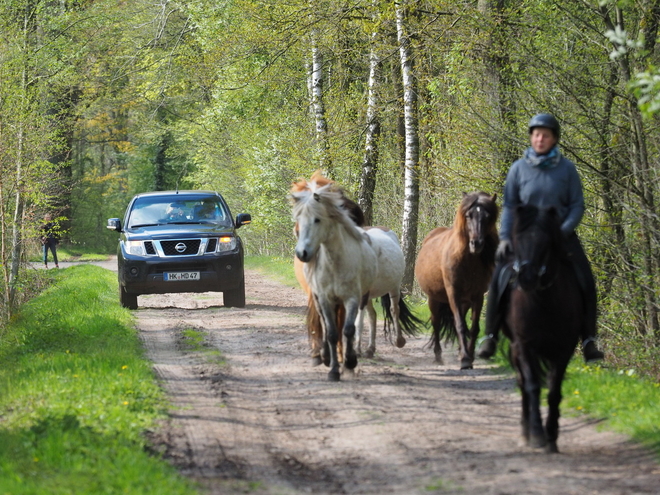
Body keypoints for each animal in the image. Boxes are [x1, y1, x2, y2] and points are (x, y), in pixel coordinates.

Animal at [292, 180, 378, 382]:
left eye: (317, 219)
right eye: (298, 220)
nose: (302, 253)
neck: (335, 264)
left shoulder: (352, 299)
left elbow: (348, 330)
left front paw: (350, 363)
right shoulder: (325, 298)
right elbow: (331, 332)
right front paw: (333, 370)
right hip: (319, 299)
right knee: (324, 324)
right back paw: (324, 356)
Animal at [356, 229, 422, 360]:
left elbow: (357, 322)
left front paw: (356, 350)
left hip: (393, 287)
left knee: (394, 310)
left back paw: (399, 341)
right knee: (372, 315)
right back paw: (370, 349)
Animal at [416, 192, 498, 370]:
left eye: (488, 217)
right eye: (468, 215)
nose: (476, 244)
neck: (468, 261)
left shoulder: (477, 296)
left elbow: (473, 328)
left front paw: (469, 355)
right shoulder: (453, 293)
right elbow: (460, 326)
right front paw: (466, 359)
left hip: (464, 302)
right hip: (434, 299)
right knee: (437, 323)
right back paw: (438, 355)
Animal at [500, 204, 584, 454]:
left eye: (547, 242)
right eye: (517, 239)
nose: (526, 278)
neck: (544, 302)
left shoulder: (564, 349)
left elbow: (554, 390)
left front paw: (552, 437)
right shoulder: (525, 346)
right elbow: (532, 385)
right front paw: (537, 435)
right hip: (516, 349)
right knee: (523, 383)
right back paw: (525, 432)